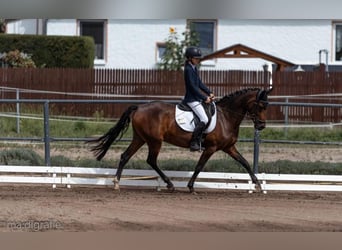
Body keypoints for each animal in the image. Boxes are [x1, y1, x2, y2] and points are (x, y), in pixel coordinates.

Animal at [87, 88, 272, 193]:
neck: (226, 116)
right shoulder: (211, 148)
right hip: (155, 141)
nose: (262, 126)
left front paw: (258, 185)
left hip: (140, 138)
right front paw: (190, 187)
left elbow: (245, 162)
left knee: (125, 156)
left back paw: (116, 183)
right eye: (261, 106)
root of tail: (139, 107)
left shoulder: (229, 147)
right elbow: (199, 166)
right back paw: (169, 184)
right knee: (151, 160)